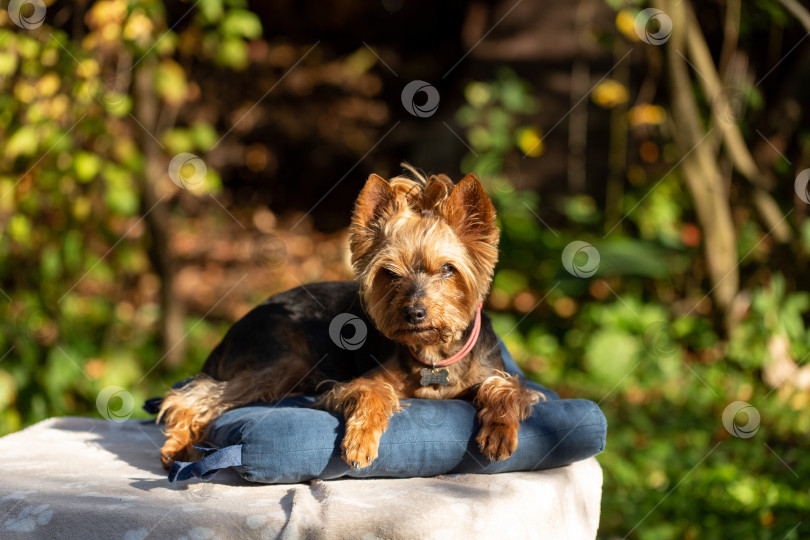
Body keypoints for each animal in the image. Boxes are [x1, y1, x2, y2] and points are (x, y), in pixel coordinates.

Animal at [156, 167, 544, 470]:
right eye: (390, 272)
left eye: (448, 269)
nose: (414, 312)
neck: (435, 352)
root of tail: (233, 327)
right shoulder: (360, 382)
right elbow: (370, 394)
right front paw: (360, 440)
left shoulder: (494, 371)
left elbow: (506, 388)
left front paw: (499, 431)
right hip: (285, 359)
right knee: (189, 398)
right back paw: (176, 446)